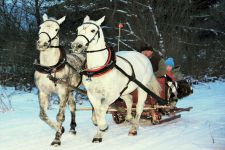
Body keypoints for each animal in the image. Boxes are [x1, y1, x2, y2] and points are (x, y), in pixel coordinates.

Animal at [34, 13, 85, 145]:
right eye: (40, 26)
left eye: (56, 29)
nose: (42, 43)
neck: (50, 68)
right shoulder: (43, 92)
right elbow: (42, 115)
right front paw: (60, 129)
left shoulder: (62, 93)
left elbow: (60, 116)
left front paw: (57, 138)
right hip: (71, 91)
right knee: (73, 106)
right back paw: (72, 128)